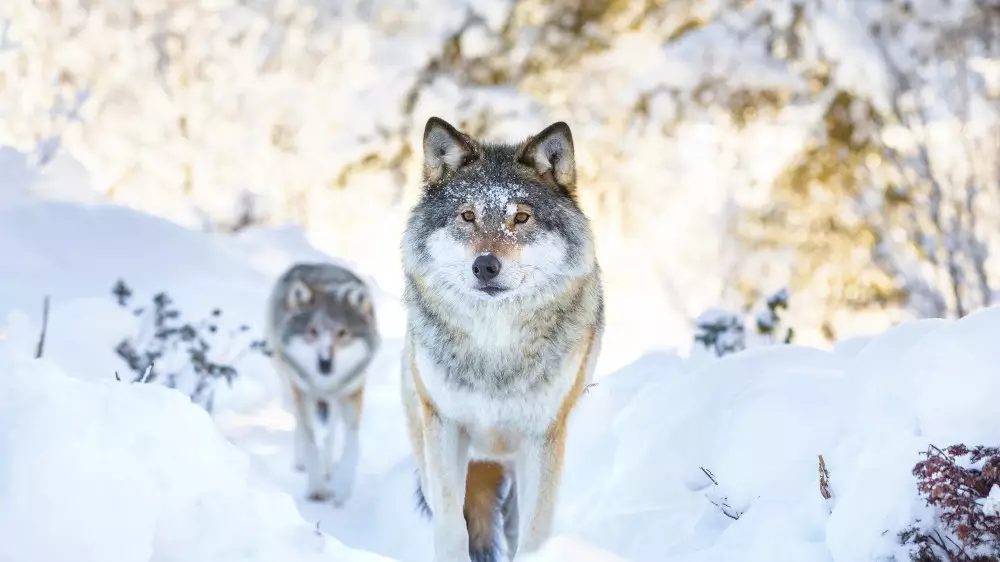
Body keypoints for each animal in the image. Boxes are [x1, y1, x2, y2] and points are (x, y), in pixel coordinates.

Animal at [264, 262, 380, 504]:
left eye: (342, 332)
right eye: (313, 331)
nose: (324, 363)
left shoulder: (351, 393)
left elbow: (352, 444)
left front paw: (342, 485)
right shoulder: (302, 393)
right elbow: (310, 442)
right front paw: (316, 488)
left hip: (333, 400)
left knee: (330, 433)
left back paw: (328, 469)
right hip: (290, 388)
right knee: (299, 425)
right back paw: (302, 463)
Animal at [398, 115, 600, 560]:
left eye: (521, 218)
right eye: (467, 216)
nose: (485, 266)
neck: (495, 347)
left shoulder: (543, 437)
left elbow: (533, 534)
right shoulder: (445, 426)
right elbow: (452, 528)